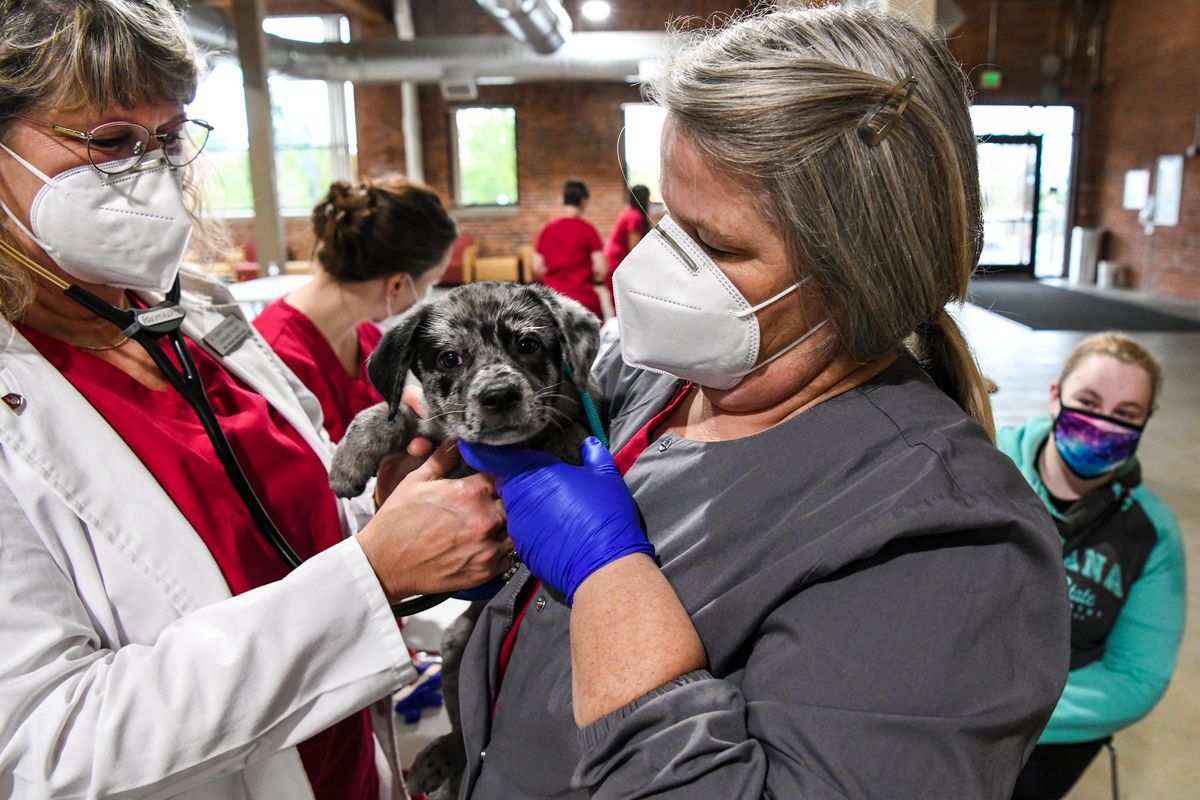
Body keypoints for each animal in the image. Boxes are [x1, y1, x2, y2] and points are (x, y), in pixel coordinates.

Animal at [328, 281, 600, 800]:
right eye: (449, 358)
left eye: (528, 344)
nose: (499, 395)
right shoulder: (432, 430)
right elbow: (392, 413)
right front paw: (347, 459)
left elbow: (567, 430)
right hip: (455, 648)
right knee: (460, 727)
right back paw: (438, 758)